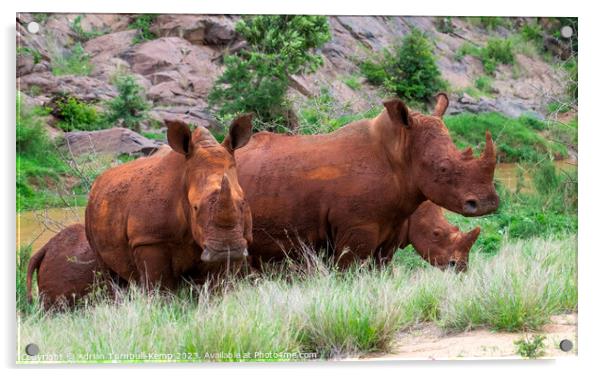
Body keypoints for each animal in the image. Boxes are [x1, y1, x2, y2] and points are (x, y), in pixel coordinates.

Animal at [236, 93, 496, 266]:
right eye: (443, 168)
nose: (488, 203)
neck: (399, 155)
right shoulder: (357, 226)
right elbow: (351, 269)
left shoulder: (392, 227)